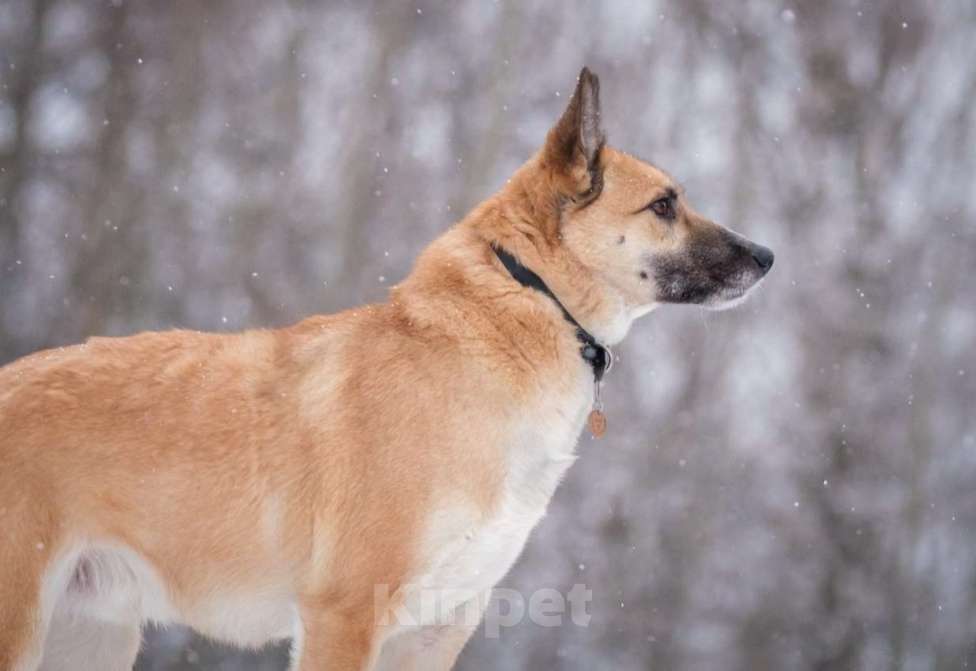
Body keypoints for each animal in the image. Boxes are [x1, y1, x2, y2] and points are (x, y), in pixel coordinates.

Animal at [1, 69, 776, 671]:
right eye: (665, 205)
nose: (768, 256)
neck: (531, 301)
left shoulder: (437, 628)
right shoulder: (346, 613)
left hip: (91, 634)